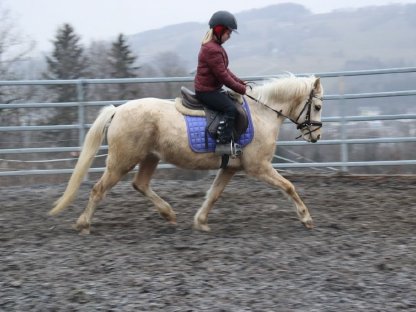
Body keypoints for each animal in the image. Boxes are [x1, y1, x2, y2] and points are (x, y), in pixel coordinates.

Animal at [48, 75, 322, 234]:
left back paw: (168, 214)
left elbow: (214, 194)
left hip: (150, 157)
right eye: (318, 106)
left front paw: (200, 221)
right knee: (98, 189)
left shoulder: (230, 168)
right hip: (121, 161)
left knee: (140, 184)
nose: (316, 137)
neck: (261, 113)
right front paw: (306, 218)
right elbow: (288, 187)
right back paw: (83, 224)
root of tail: (118, 110)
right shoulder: (259, 167)